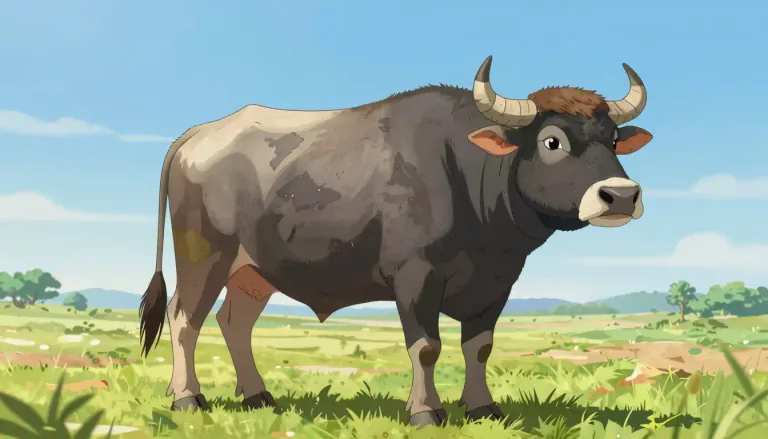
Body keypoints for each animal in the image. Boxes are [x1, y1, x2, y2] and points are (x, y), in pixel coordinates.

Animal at [139, 55, 653, 428]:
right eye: (552, 142)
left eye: (612, 139)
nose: (621, 195)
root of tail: (198, 135)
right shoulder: (415, 278)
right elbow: (426, 347)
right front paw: (426, 411)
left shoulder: (496, 284)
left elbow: (479, 347)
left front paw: (482, 408)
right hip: (204, 256)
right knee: (184, 319)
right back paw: (188, 398)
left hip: (254, 271)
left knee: (234, 322)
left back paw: (257, 396)